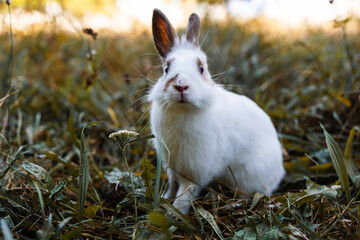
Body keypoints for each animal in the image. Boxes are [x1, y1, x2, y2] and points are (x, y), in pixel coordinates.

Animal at [148, 8, 284, 213]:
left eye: (201, 68)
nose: (181, 86)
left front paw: (175, 212)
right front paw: (165, 200)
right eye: (166, 69)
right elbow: (172, 185)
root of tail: (279, 171)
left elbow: (184, 195)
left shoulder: (196, 173)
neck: (183, 111)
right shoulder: (172, 167)